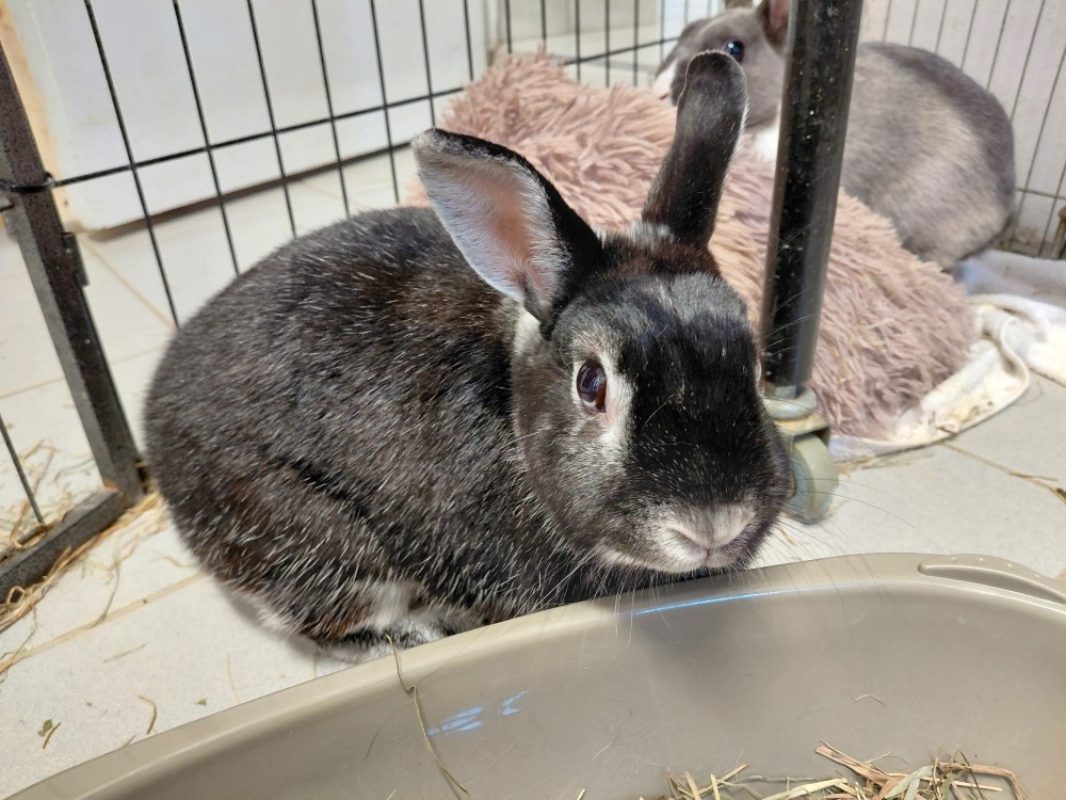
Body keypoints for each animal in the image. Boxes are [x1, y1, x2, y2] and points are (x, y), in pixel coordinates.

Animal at [144, 52, 790, 663]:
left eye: (755, 365)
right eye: (591, 383)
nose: (713, 525)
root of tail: (155, 419)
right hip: (320, 544)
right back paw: (413, 635)